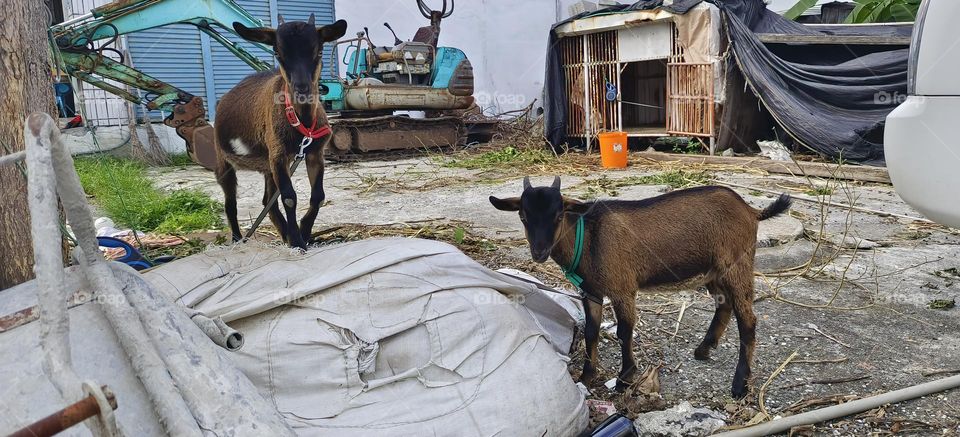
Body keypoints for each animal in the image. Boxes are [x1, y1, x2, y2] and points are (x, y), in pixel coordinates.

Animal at [214, 15, 347, 249]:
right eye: (277, 52)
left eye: (319, 50)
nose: (302, 88)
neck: (301, 122)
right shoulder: (278, 153)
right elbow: (289, 198)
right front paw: (297, 241)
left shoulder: (314, 153)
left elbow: (318, 196)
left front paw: (304, 232)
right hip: (224, 160)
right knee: (231, 203)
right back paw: (238, 239)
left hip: (267, 165)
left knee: (268, 201)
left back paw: (283, 234)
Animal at [489, 176, 791, 398]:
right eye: (523, 216)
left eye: (559, 214)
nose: (539, 252)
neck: (588, 239)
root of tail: (751, 210)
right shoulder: (591, 292)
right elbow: (591, 332)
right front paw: (587, 375)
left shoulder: (622, 288)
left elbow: (624, 331)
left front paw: (625, 378)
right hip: (714, 271)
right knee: (724, 304)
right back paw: (704, 349)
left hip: (737, 265)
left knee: (748, 319)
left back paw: (740, 384)